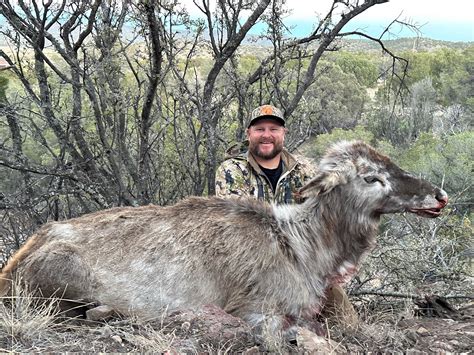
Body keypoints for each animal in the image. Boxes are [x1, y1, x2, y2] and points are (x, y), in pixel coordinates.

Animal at [0, 140, 446, 336]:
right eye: (372, 177)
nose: (439, 196)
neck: (304, 250)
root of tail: (14, 265)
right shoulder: (259, 308)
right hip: (60, 280)